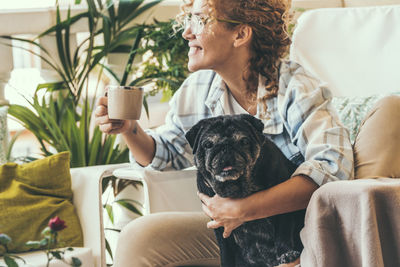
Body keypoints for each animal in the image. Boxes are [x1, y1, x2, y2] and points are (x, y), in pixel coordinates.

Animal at [186, 114, 304, 267]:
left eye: (244, 141)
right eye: (207, 145)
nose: (225, 147)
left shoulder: (284, 207)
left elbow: (283, 233)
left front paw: (286, 253)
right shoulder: (220, 228)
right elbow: (226, 253)